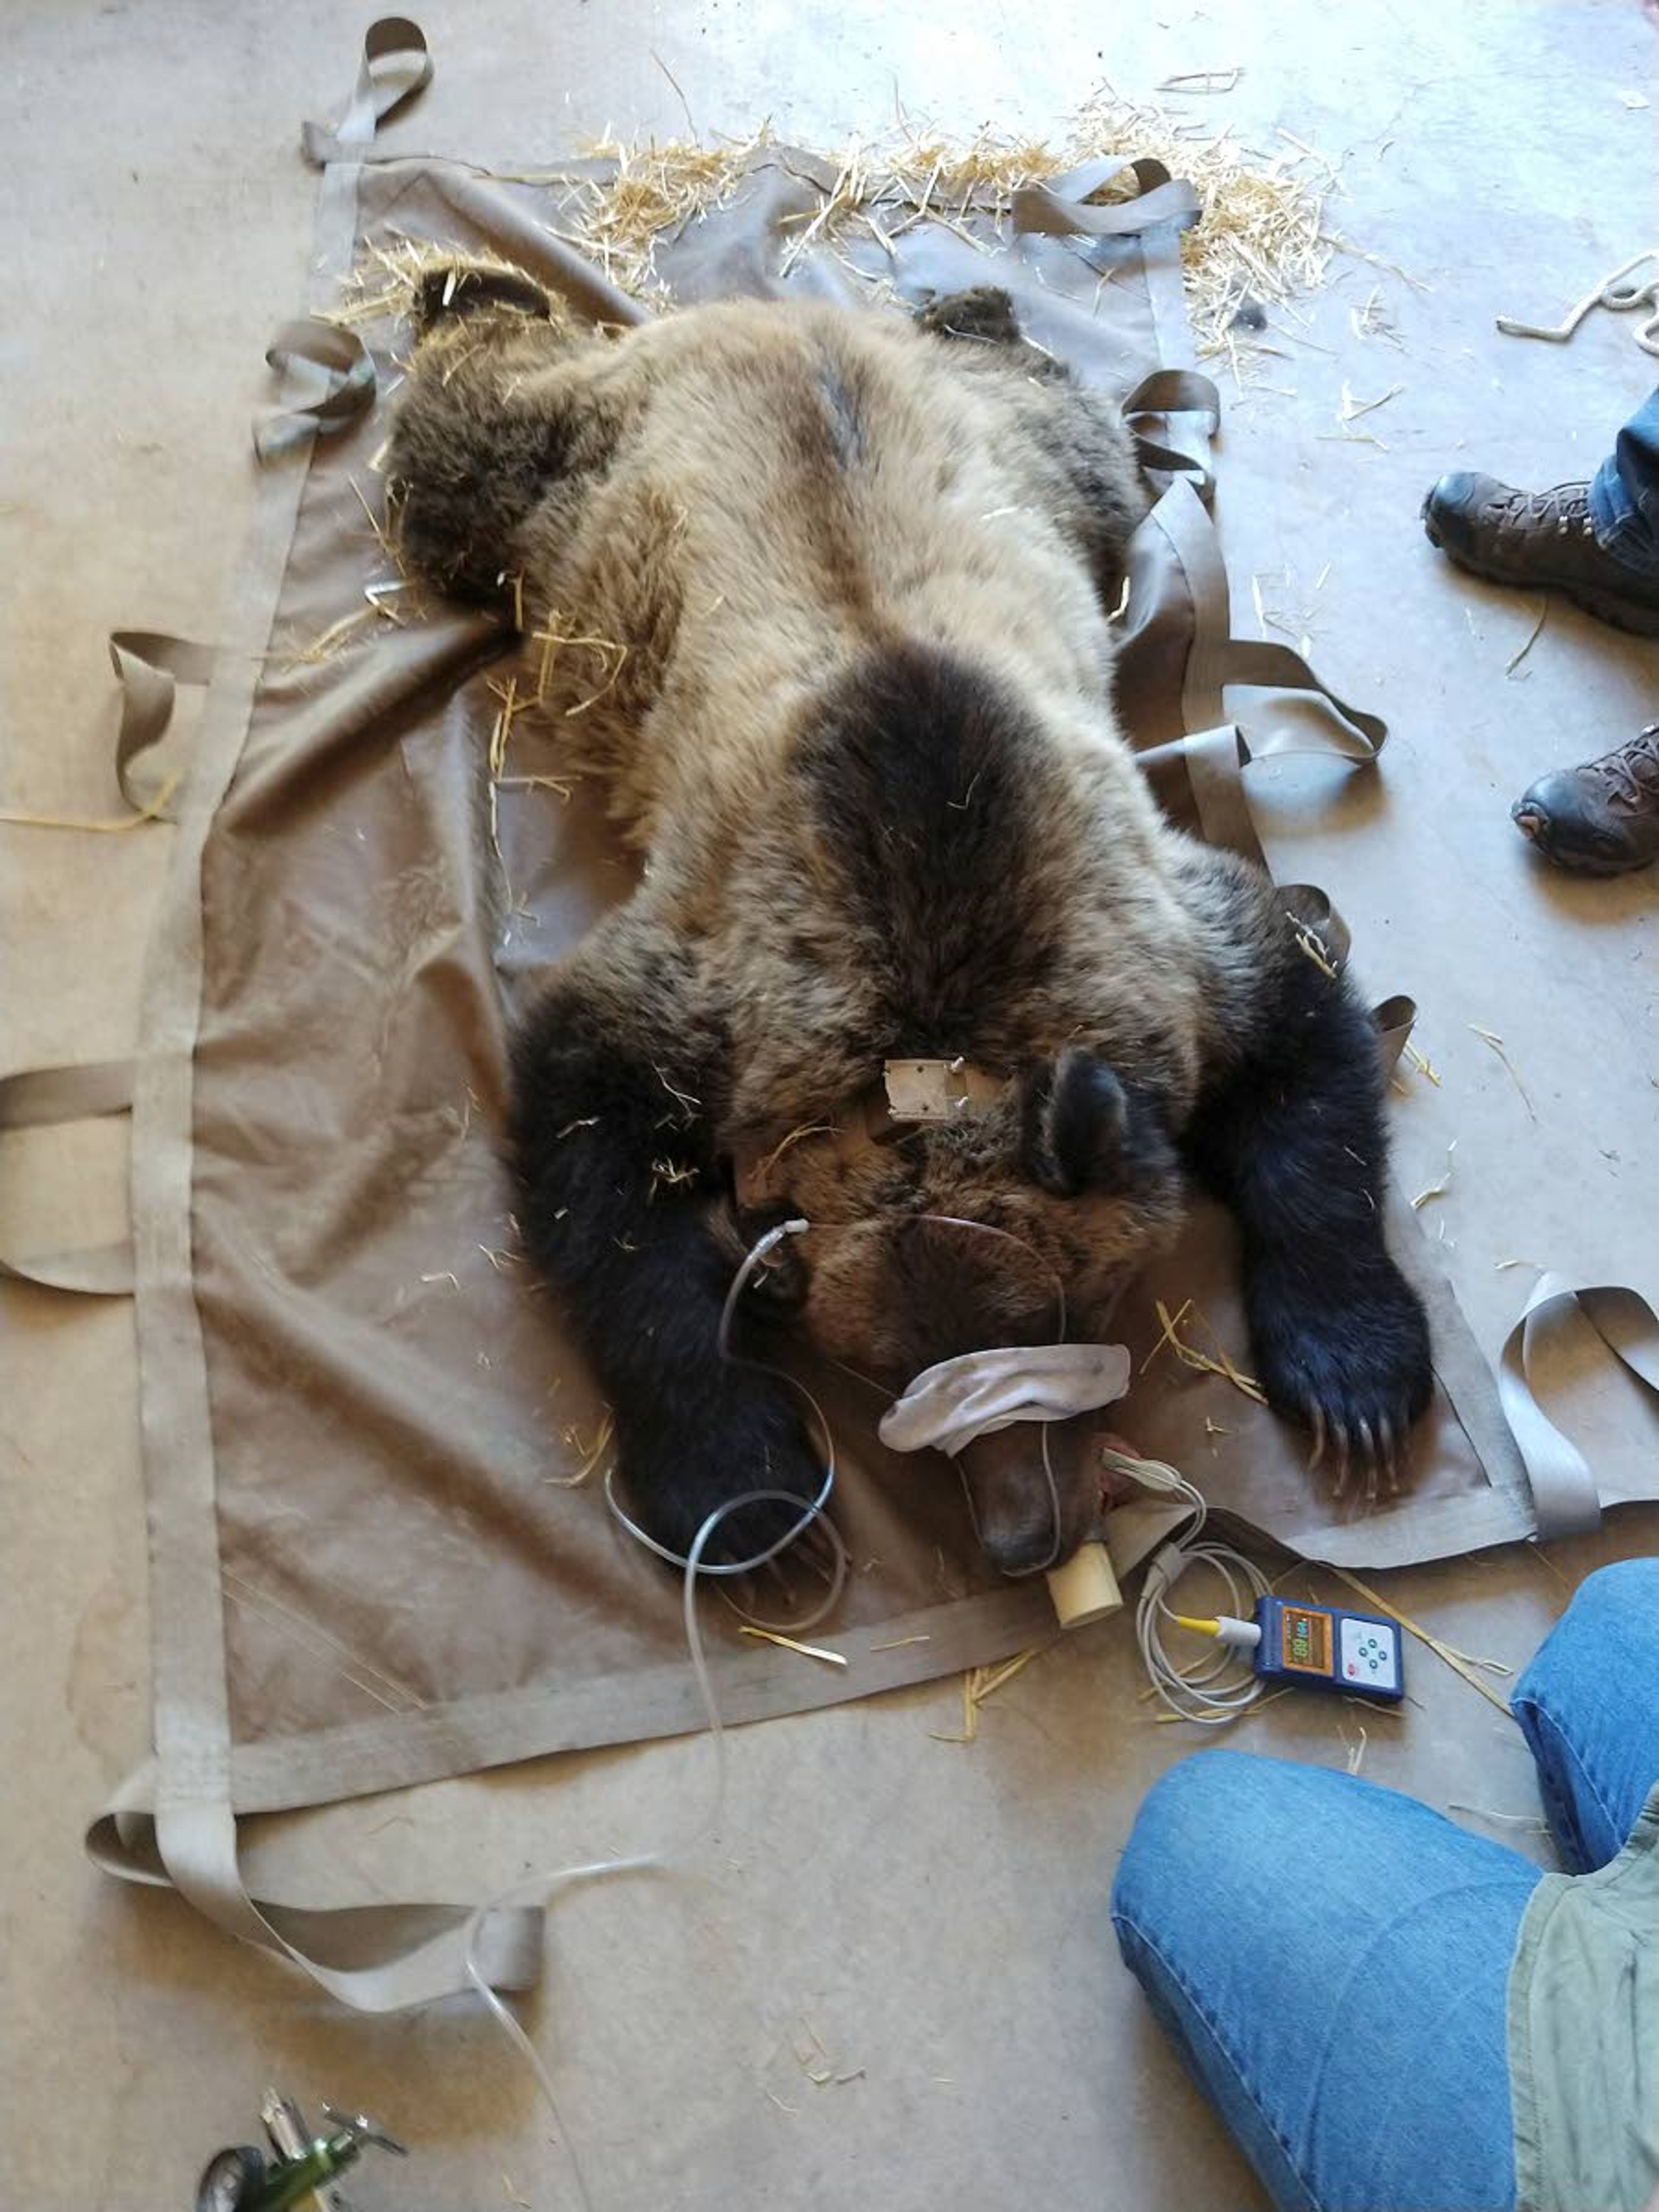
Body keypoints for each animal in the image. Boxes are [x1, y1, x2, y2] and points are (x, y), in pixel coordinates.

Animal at [387, 263, 1433, 1575]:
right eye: (883, 1363)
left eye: (1072, 1304)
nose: (1023, 1534)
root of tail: (770, 313)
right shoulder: (718, 989)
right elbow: (598, 1163)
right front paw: (747, 1489)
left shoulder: (1164, 945)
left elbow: (1305, 1053)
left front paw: (1356, 1381)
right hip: (567, 475)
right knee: (464, 444)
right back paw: (463, 287)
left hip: (1042, 457)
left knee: (1073, 421)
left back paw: (968, 302)